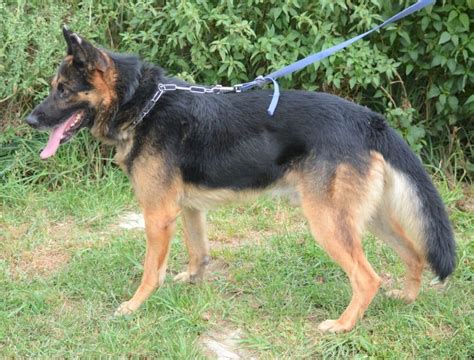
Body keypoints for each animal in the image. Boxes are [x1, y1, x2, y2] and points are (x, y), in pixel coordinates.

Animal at [25, 27, 456, 332]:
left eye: (63, 90)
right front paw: (192, 281)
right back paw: (405, 300)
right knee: (414, 254)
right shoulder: (187, 209)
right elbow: (198, 252)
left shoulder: (158, 215)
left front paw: (134, 306)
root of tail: (368, 120)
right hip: (369, 218)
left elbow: (151, 271)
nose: (29, 120)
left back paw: (343, 325)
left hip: (328, 223)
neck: (143, 104)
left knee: (367, 278)